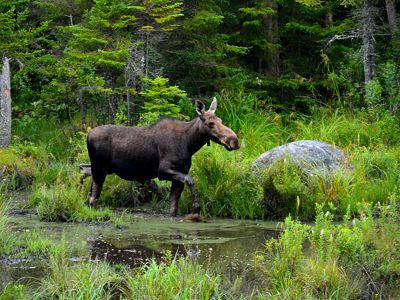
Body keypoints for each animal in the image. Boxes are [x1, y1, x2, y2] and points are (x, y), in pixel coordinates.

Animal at [86, 97, 239, 217]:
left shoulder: (180, 173)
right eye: (210, 123)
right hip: (98, 169)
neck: (189, 143)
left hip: (96, 171)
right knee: (93, 199)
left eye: (221, 120)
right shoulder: (163, 171)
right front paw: (196, 207)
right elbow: (191, 180)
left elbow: (173, 207)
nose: (234, 140)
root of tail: (88, 136)